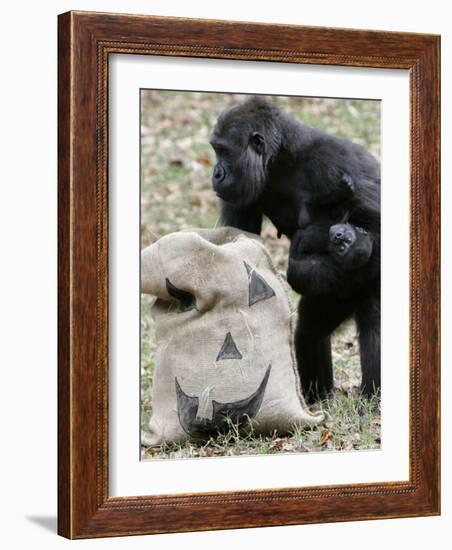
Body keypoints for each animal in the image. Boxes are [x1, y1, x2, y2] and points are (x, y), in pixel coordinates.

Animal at [210, 97, 380, 402]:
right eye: (216, 150)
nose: (216, 173)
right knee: (310, 331)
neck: (281, 159)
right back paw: (319, 399)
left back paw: (371, 399)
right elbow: (238, 246)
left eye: (225, 152)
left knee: (374, 327)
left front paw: (353, 247)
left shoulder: (337, 162)